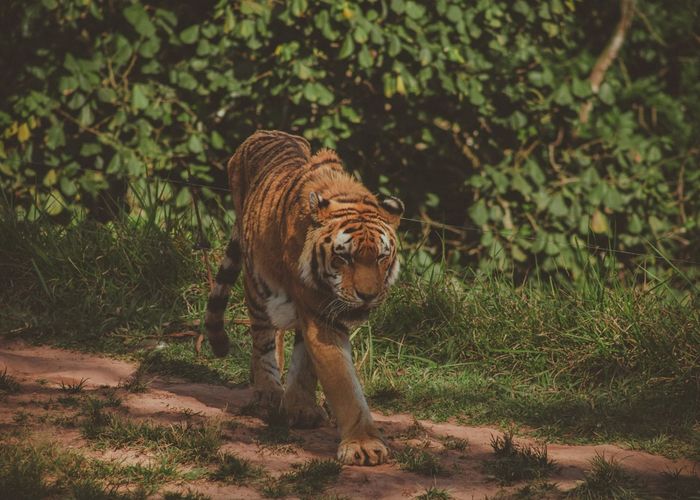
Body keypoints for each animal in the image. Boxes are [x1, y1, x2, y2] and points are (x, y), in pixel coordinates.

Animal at [204, 130, 403, 466]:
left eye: (381, 257)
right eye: (344, 257)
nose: (367, 295)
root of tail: (260, 133)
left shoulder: (318, 311)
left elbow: (307, 363)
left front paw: (303, 408)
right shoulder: (319, 312)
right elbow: (342, 383)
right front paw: (363, 445)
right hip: (257, 286)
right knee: (263, 341)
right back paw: (268, 394)